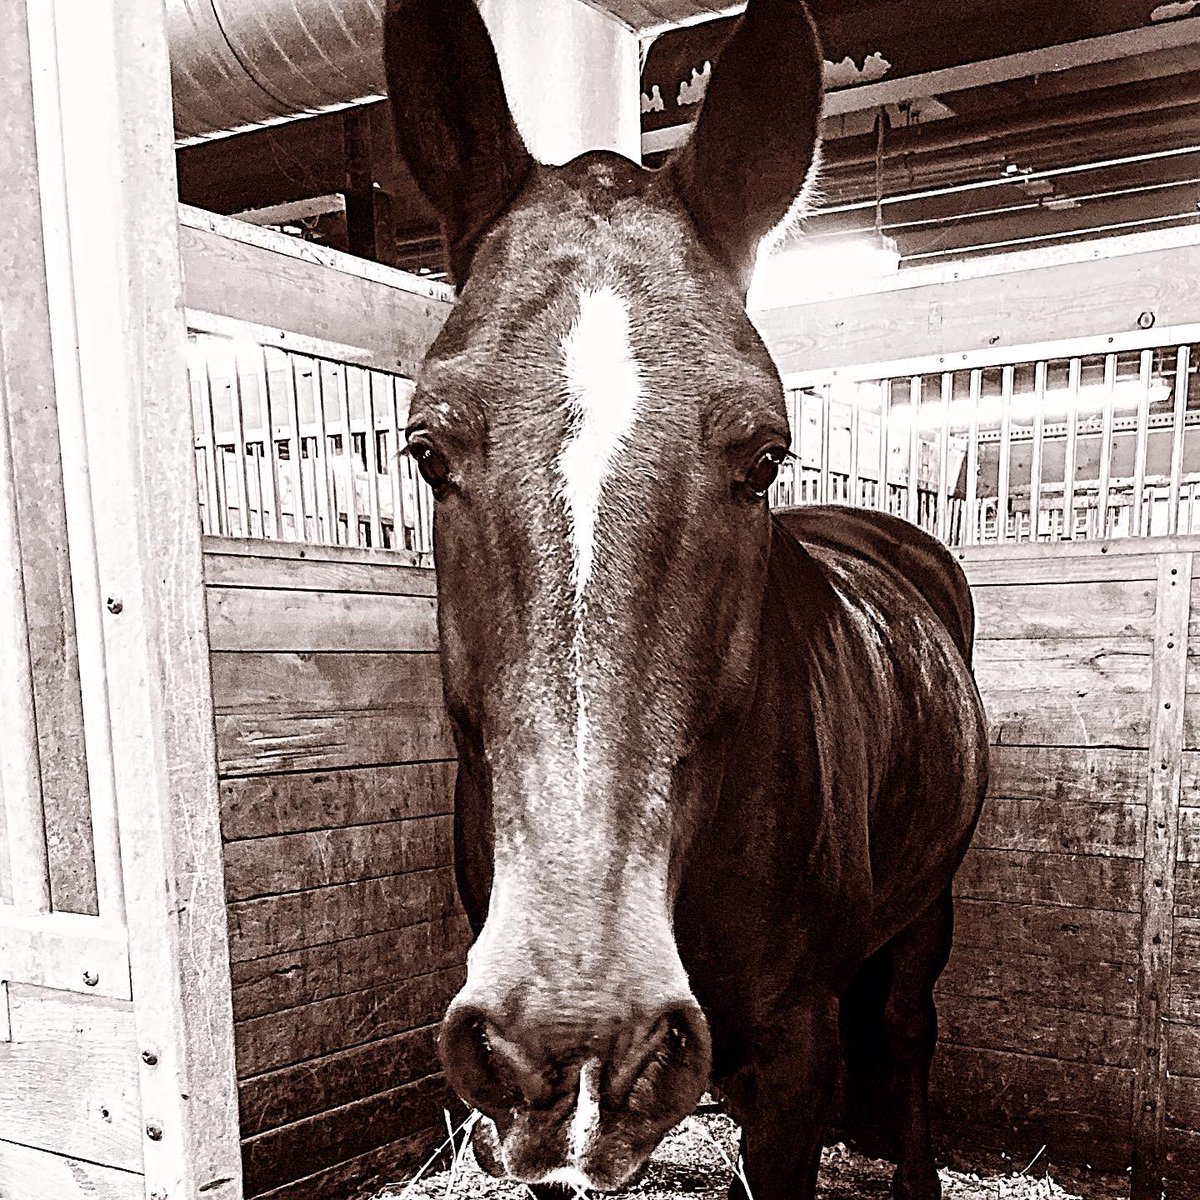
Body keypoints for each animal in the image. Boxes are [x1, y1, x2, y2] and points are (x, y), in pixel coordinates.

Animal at [382, 2, 988, 1198]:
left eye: (764, 457)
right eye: (427, 451)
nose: (578, 1014)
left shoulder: (796, 1056)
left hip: (926, 911)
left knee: (906, 1031)